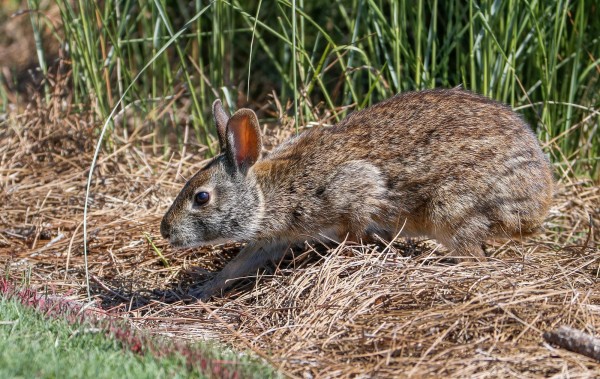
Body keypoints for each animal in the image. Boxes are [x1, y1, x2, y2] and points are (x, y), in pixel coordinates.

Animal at [158, 88, 552, 300]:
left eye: (202, 198)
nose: (165, 231)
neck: (269, 193)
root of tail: (538, 201)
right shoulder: (273, 239)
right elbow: (237, 265)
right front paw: (201, 291)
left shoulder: (355, 193)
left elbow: (356, 224)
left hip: (452, 208)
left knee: (474, 254)